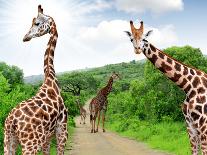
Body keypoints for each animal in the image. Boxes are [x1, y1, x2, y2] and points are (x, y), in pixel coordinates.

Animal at [3, 5, 68, 155]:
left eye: (37, 23)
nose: (25, 37)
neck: (51, 78)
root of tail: (11, 121)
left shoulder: (48, 135)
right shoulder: (62, 128)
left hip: (9, 140)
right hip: (30, 143)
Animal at [125, 19, 207, 155]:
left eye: (144, 38)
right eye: (131, 39)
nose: (137, 49)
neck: (189, 86)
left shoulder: (203, 125)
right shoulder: (191, 126)